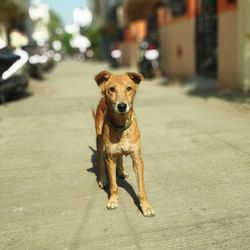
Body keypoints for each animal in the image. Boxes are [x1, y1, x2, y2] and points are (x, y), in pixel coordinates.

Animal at [92, 70, 154, 217]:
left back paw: (121, 171)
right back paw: (103, 179)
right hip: (99, 140)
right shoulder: (110, 158)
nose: (121, 106)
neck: (121, 126)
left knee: (119, 156)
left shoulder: (137, 158)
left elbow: (141, 188)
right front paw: (113, 200)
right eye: (111, 89)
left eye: (129, 88)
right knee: (101, 161)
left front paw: (145, 206)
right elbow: (114, 185)